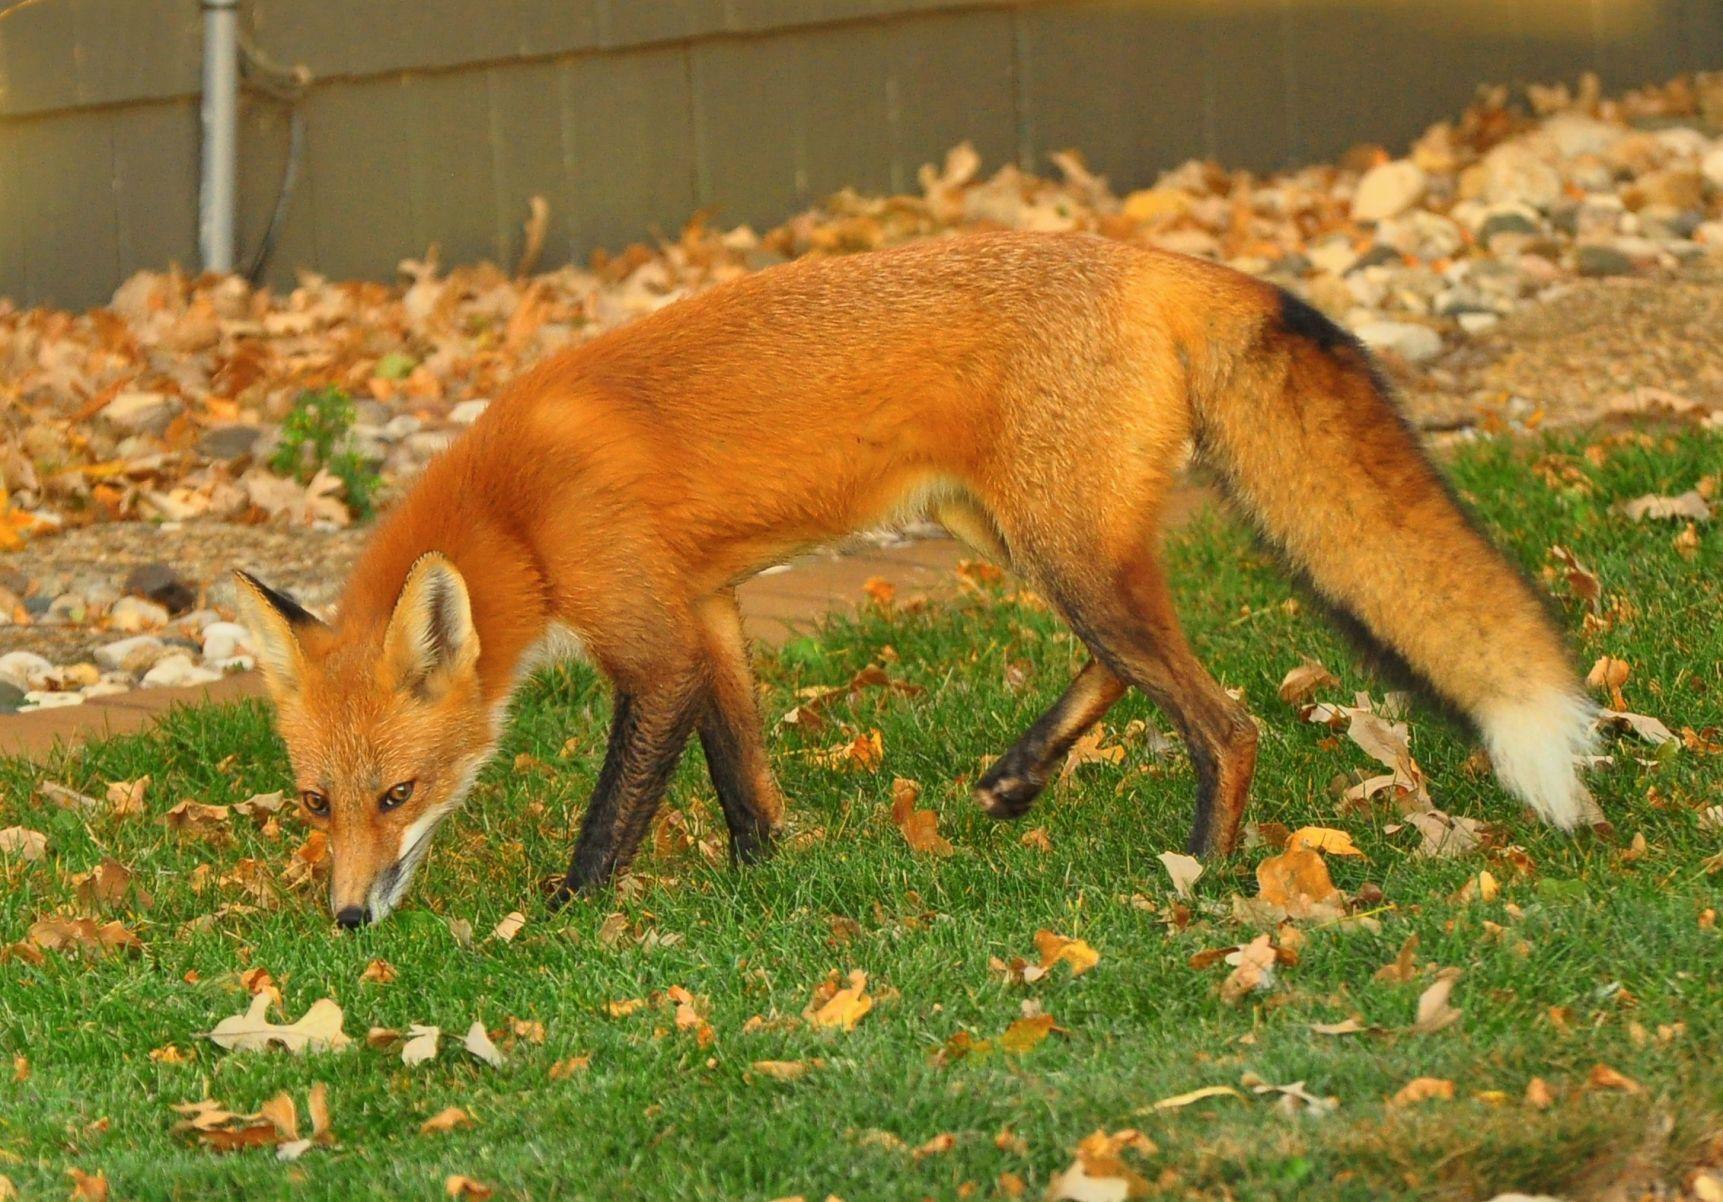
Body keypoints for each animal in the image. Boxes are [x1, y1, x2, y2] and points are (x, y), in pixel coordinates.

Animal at [233, 231, 1599, 928]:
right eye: (313, 802)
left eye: (399, 791)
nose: (346, 919)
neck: (519, 508)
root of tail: (1147, 254)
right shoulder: (710, 608)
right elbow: (743, 772)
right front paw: (764, 875)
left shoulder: (651, 638)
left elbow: (614, 808)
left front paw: (566, 914)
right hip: (1019, 540)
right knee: (1124, 662)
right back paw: (1020, 775)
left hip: (1058, 550)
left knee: (1222, 718)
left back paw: (1202, 869)